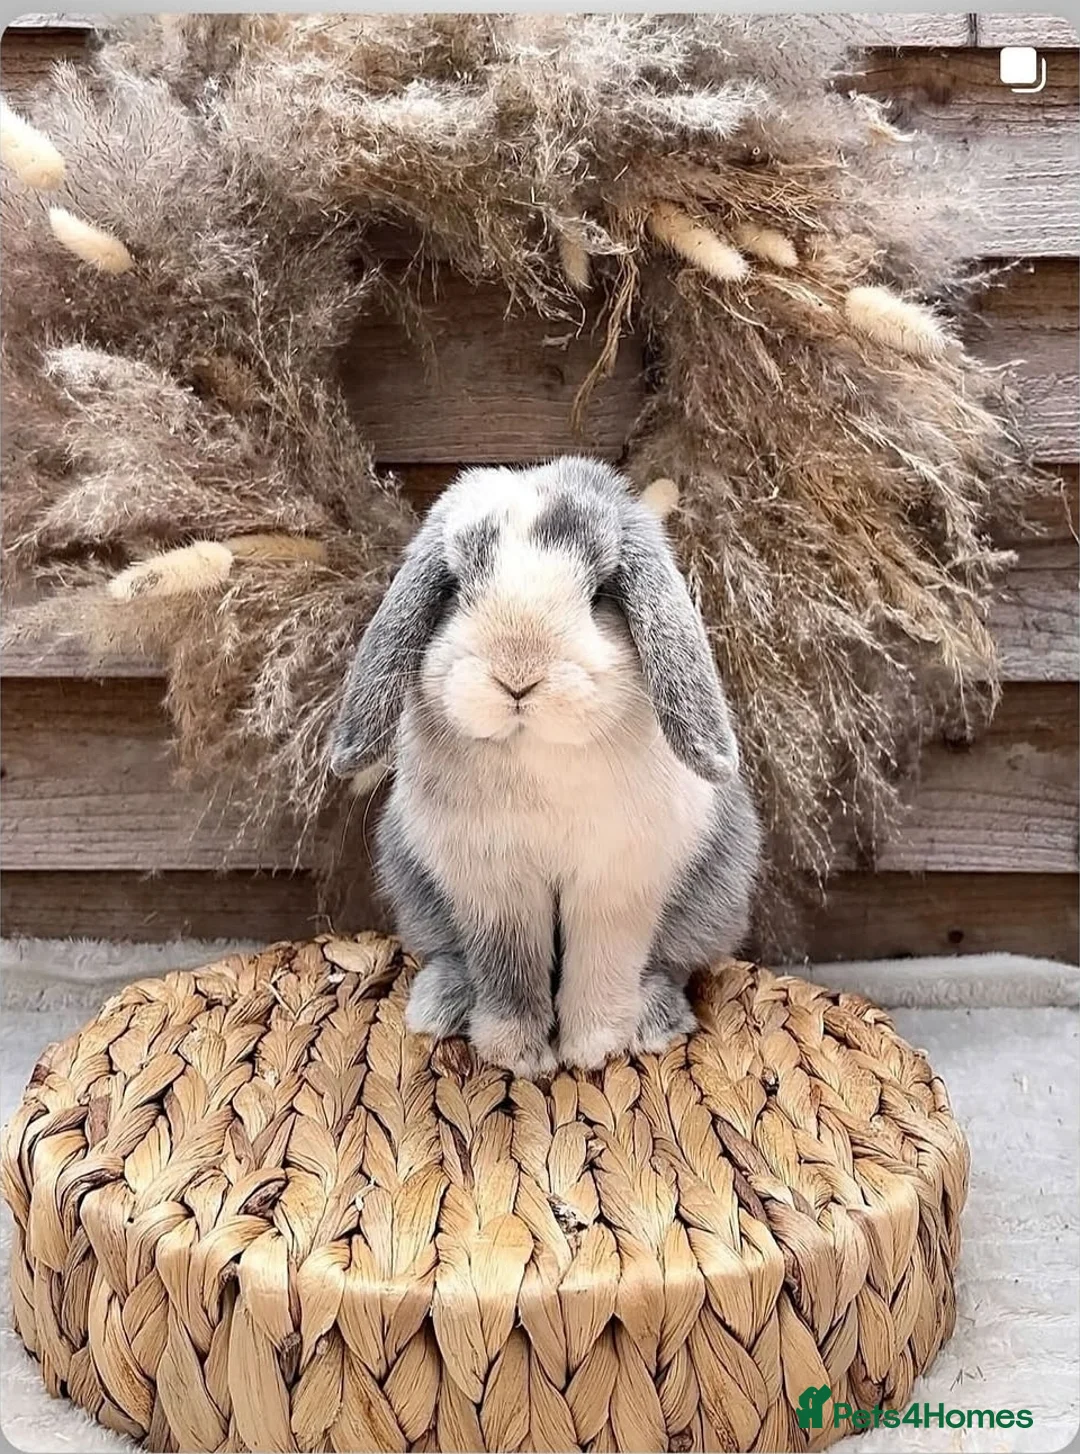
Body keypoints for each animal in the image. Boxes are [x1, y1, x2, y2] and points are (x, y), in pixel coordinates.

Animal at [330, 457, 761, 1076]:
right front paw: (518, 1055)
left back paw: (653, 1021)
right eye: (455, 588)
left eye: (601, 593)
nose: (517, 676)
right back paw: (440, 1007)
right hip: (419, 893)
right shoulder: (496, 884)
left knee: (666, 965)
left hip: (710, 903)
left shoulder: (616, 883)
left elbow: (603, 964)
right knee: (451, 956)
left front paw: (592, 1049)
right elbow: (508, 970)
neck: (538, 753)